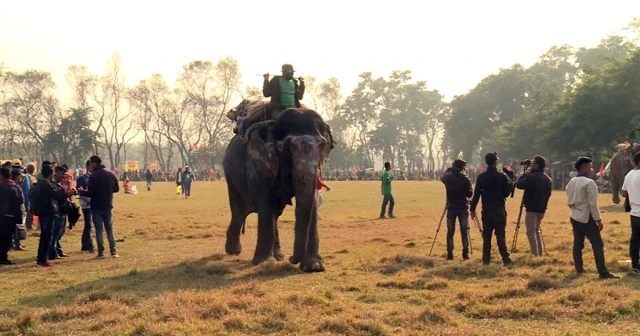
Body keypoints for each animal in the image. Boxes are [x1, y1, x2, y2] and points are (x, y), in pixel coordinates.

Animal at [224, 109, 336, 272]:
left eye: (323, 146)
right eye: (286, 149)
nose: (292, 259)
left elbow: (313, 201)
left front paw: (314, 266)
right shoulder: (258, 164)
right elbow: (265, 202)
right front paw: (263, 262)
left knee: (274, 214)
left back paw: (278, 256)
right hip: (231, 177)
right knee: (239, 211)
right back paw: (233, 251)